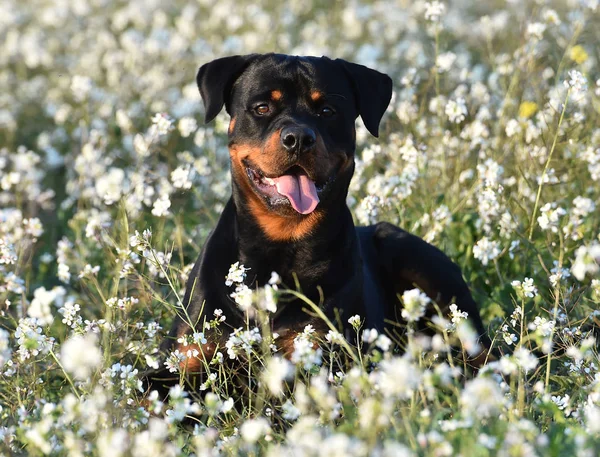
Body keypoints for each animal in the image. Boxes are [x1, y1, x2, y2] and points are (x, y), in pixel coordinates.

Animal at [148, 52, 490, 388]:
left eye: (327, 111)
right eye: (262, 108)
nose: (298, 137)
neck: (279, 243)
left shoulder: (318, 354)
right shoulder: (183, 358)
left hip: (420, 261)